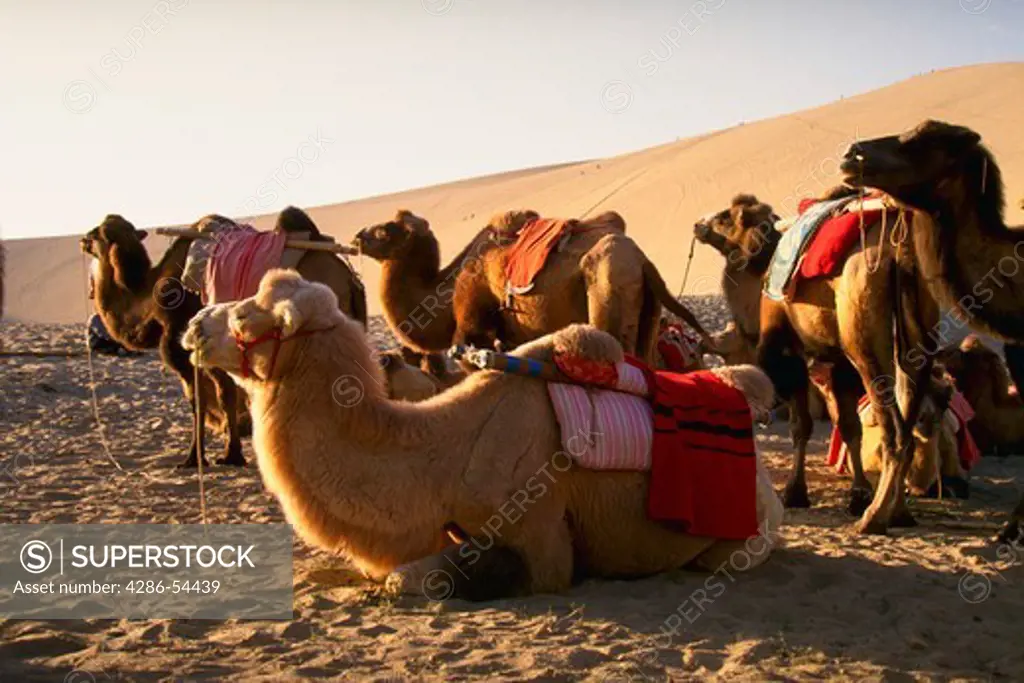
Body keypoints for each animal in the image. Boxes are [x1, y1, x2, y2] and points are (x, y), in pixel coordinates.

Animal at [80, 205, 368, 466]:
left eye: (98, 233)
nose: (83, 240)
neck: (150, 300)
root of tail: (350, 280)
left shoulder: (184, 350)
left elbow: (202, 399)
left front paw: (198, 458)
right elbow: (224, 394)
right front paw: (230, 453)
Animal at [182, 270, 782, 602]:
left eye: (249, 320)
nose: (193, 325)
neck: (438, 461)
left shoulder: (541, 545)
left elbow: (411, 579)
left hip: (742, 542)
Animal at [352, 210, 712, 366]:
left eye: (386, 230)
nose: (358, 236)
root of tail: (643, 261)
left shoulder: (472, 328)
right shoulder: (511, 338)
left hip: (608, 283)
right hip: (649, 316)